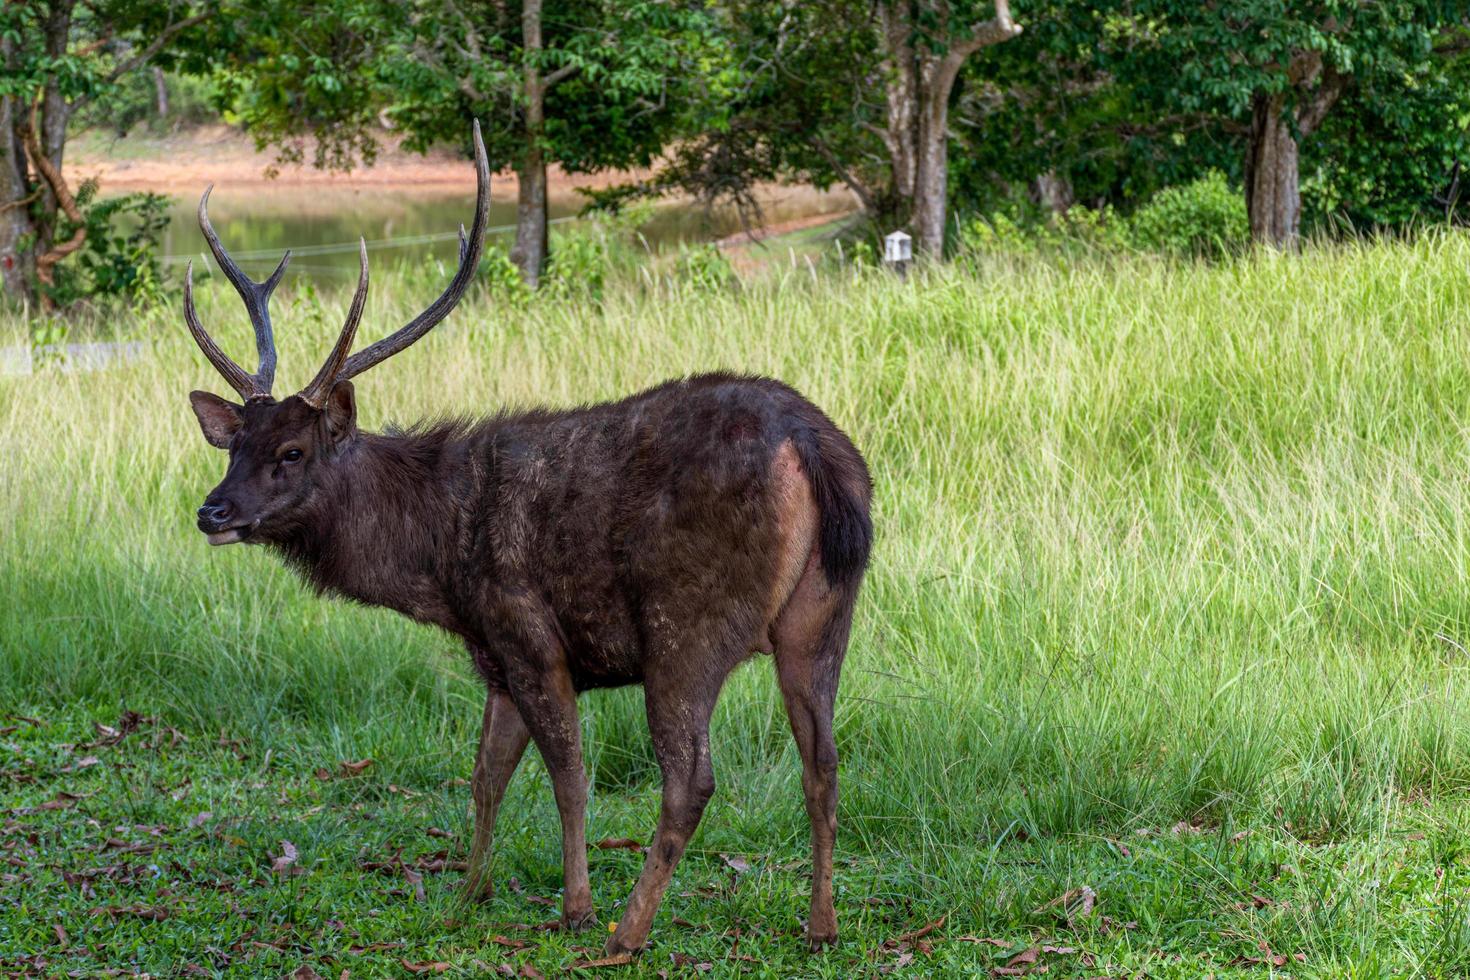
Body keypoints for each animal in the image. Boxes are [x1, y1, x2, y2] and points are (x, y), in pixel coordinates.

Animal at [183, 119, 870, 952]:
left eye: (291, 451)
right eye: (234, 444)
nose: (213, 512)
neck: (439, 564)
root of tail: (813, 449)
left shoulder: (527, 631)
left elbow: (567, 774)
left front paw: (573, 905)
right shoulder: (495, 658)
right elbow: (485, 775)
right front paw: (464, 895)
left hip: (688, 620)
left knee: (691, 778)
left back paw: (626, 931)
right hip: (825, 613)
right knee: (824, 763)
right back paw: (821, 924)